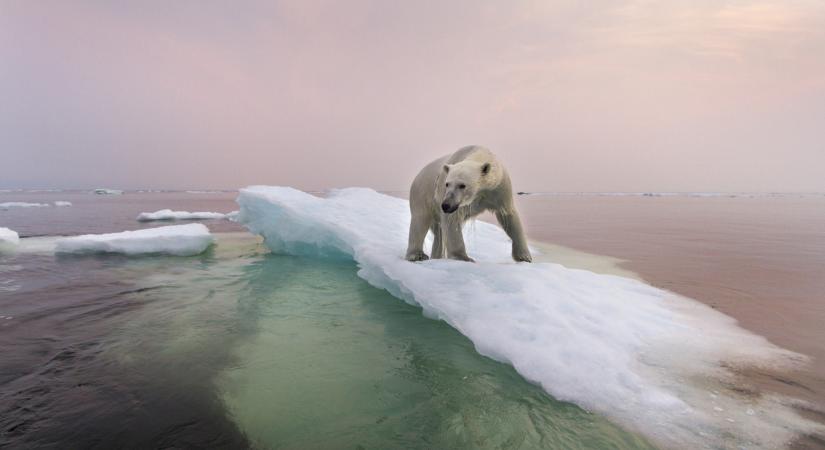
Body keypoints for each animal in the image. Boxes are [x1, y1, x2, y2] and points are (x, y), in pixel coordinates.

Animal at [404, 146, 532, 262]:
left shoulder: (499, 188)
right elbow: (452, 221)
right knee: (420, 220)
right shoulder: (446, 193)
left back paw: (436, 256)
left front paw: (524, 257)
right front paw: (463, 257)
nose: (446, 205)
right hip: (422, 193)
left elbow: (508, 215)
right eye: (447, 184)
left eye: (462, 185)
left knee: (438, 233)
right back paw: (417, 255)